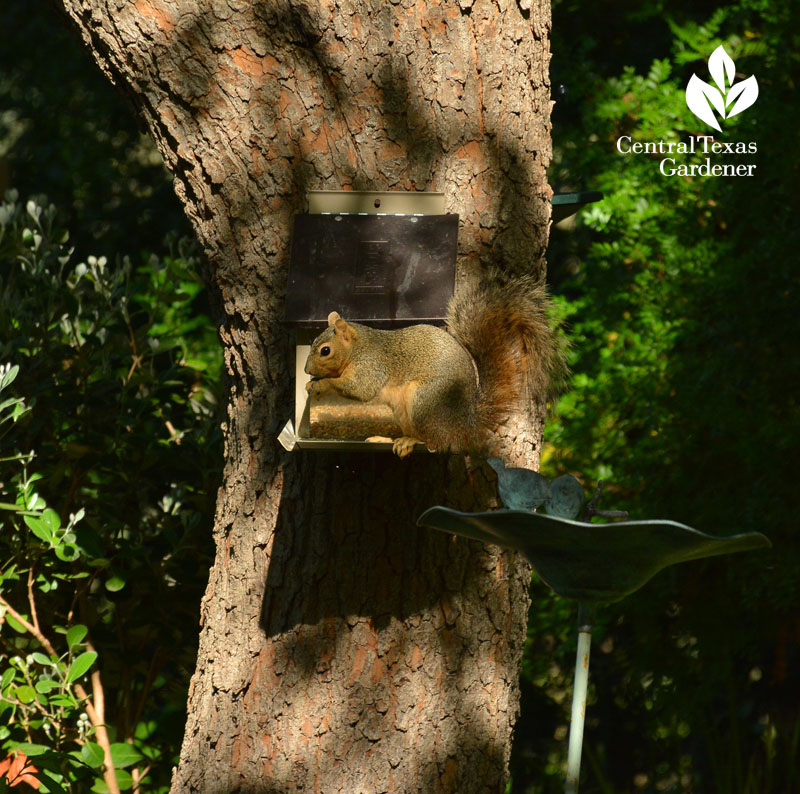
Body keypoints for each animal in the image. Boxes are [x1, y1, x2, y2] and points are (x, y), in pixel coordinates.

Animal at [304, 274, 564, 454]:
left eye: (325, 350)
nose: (306, 370)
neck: (358, 348)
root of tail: (464, 424)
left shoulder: (372, 365)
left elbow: (360, 389)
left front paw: (321, 384)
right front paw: (311, 383)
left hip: (424, 399)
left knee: (436, 442)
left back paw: (411, 441)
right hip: (403, 411)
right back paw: (386, 439)